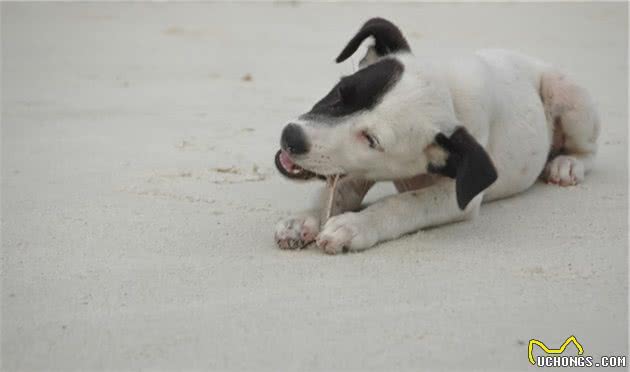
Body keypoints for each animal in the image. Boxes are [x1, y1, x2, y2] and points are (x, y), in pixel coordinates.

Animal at [274, 18, 600, 256]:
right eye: (342, 91)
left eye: (372, 140)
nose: (292, 137)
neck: (450, 90)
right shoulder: (355, 169)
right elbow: (335, 191)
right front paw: (304, 218)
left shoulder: (456, 198)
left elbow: (405, 204)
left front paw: (355, 225)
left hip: (566, 93)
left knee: (589, 150)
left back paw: (566, 164)